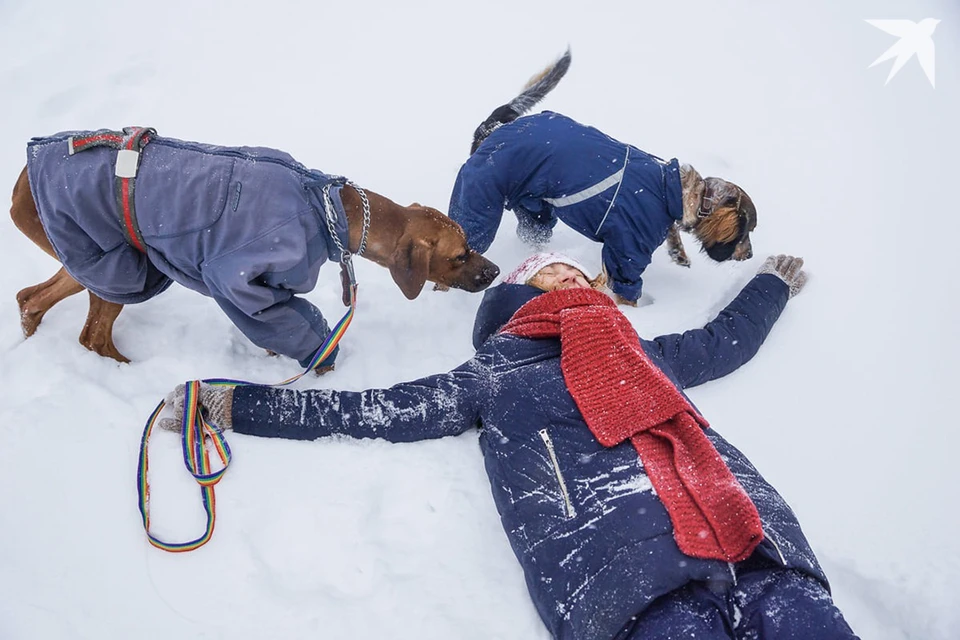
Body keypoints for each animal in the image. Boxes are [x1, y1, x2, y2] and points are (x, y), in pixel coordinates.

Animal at [11, 129, 498, 364]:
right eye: (460, 255)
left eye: (470, 247)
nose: (494, 272)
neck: (330, 209)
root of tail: (23, 174)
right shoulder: (241, 282)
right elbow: (293, 330)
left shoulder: (274, 289)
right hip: (117, 266)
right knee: (91, 336)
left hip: (91, 258)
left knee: (31, 298)